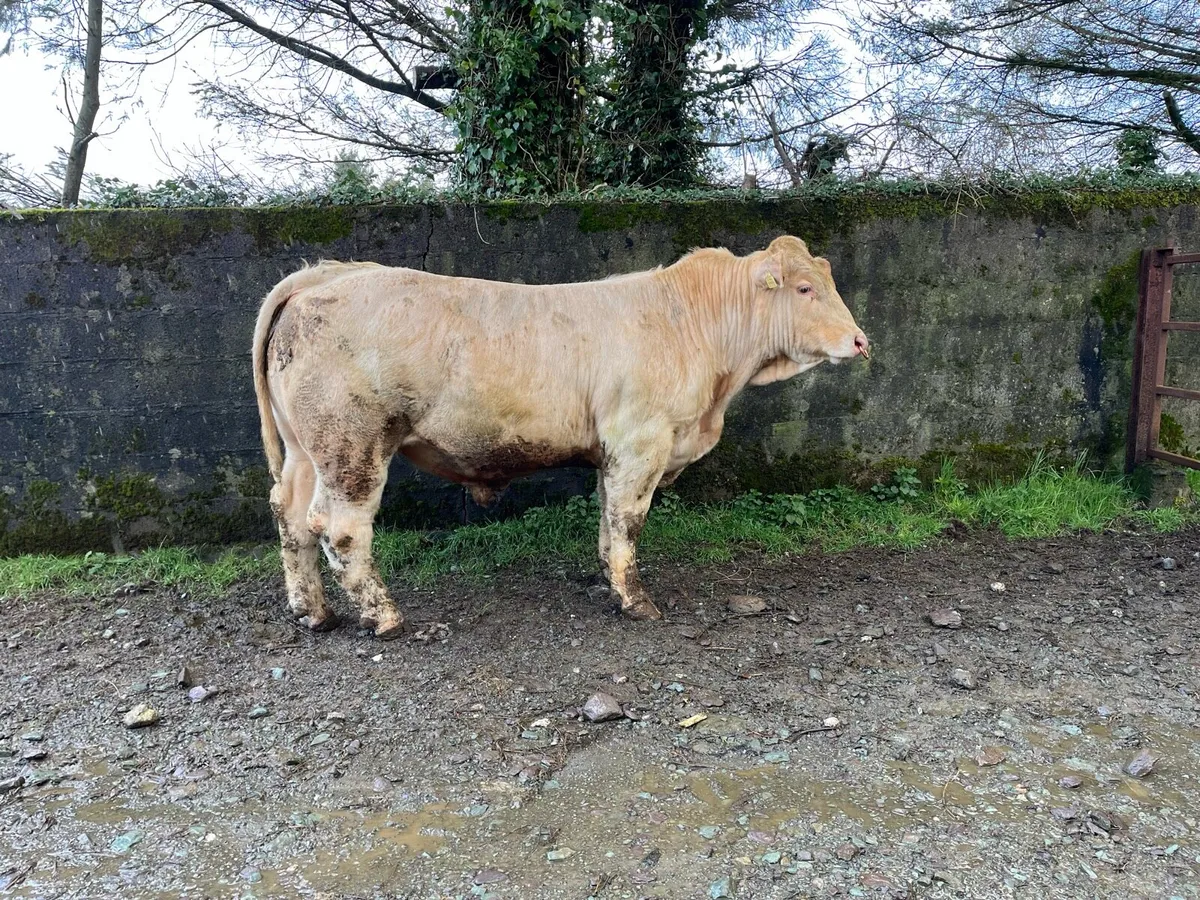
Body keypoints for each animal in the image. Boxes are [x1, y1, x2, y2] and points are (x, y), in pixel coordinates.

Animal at [252, 236, 869, 638]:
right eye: (806, 288)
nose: (862, 341)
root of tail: (326, 273)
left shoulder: (613, 451)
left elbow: (607, 520)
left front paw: (609, 581)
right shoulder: (641, 441)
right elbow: (628, 521)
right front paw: (635, 601)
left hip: (305, 450)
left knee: (290, 515)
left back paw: (313, 611)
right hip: (352, 445)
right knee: (339, 528)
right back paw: (383, 617)